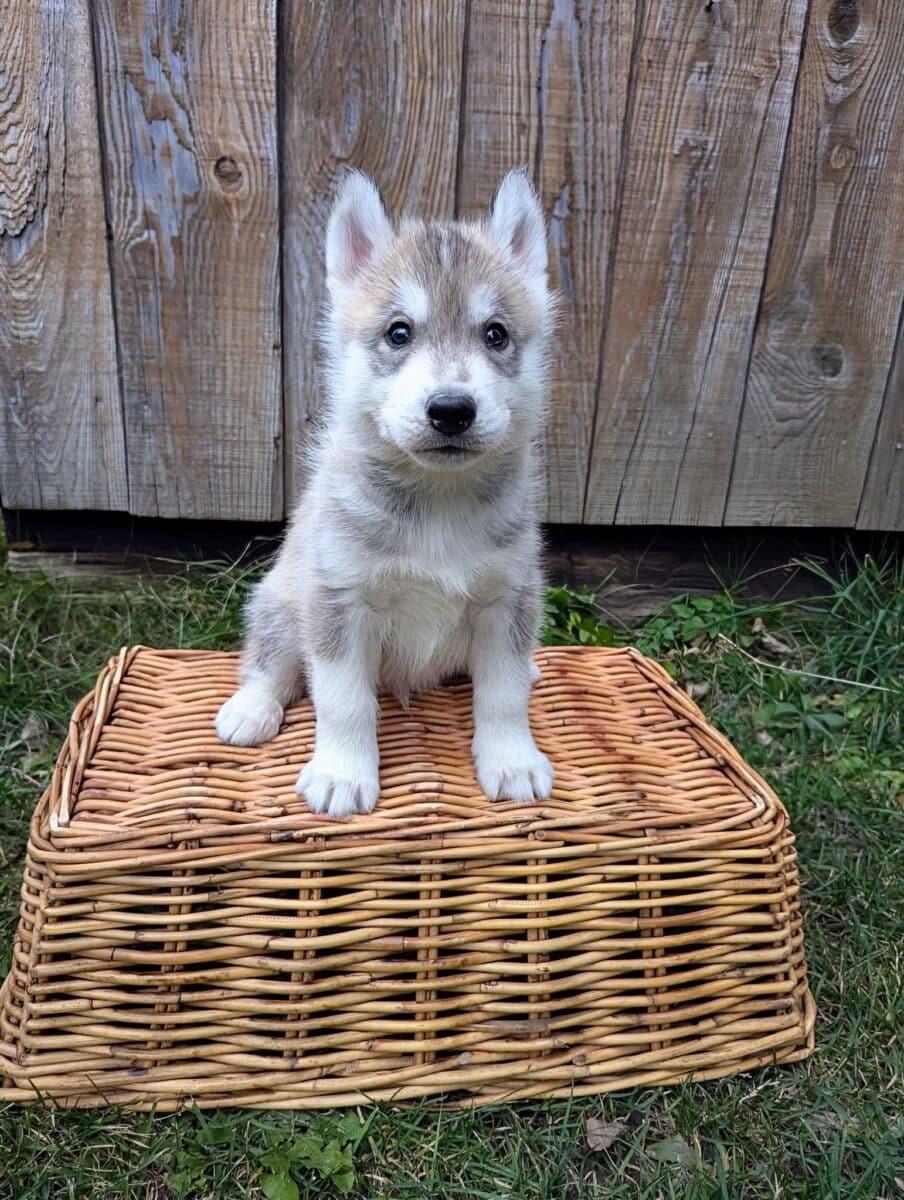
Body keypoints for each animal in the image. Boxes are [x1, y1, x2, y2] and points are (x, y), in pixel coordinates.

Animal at [217, 169, 557, 820]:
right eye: (399, 332)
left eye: (496, 334)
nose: (451, 410)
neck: (438, 501)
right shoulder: (340, 602)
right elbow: (343, 699)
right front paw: (342, 773)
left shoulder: (508, 598)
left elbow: (502, 694)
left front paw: (512, 761)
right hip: (281, 602)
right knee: (271, 664)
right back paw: (251, 709)